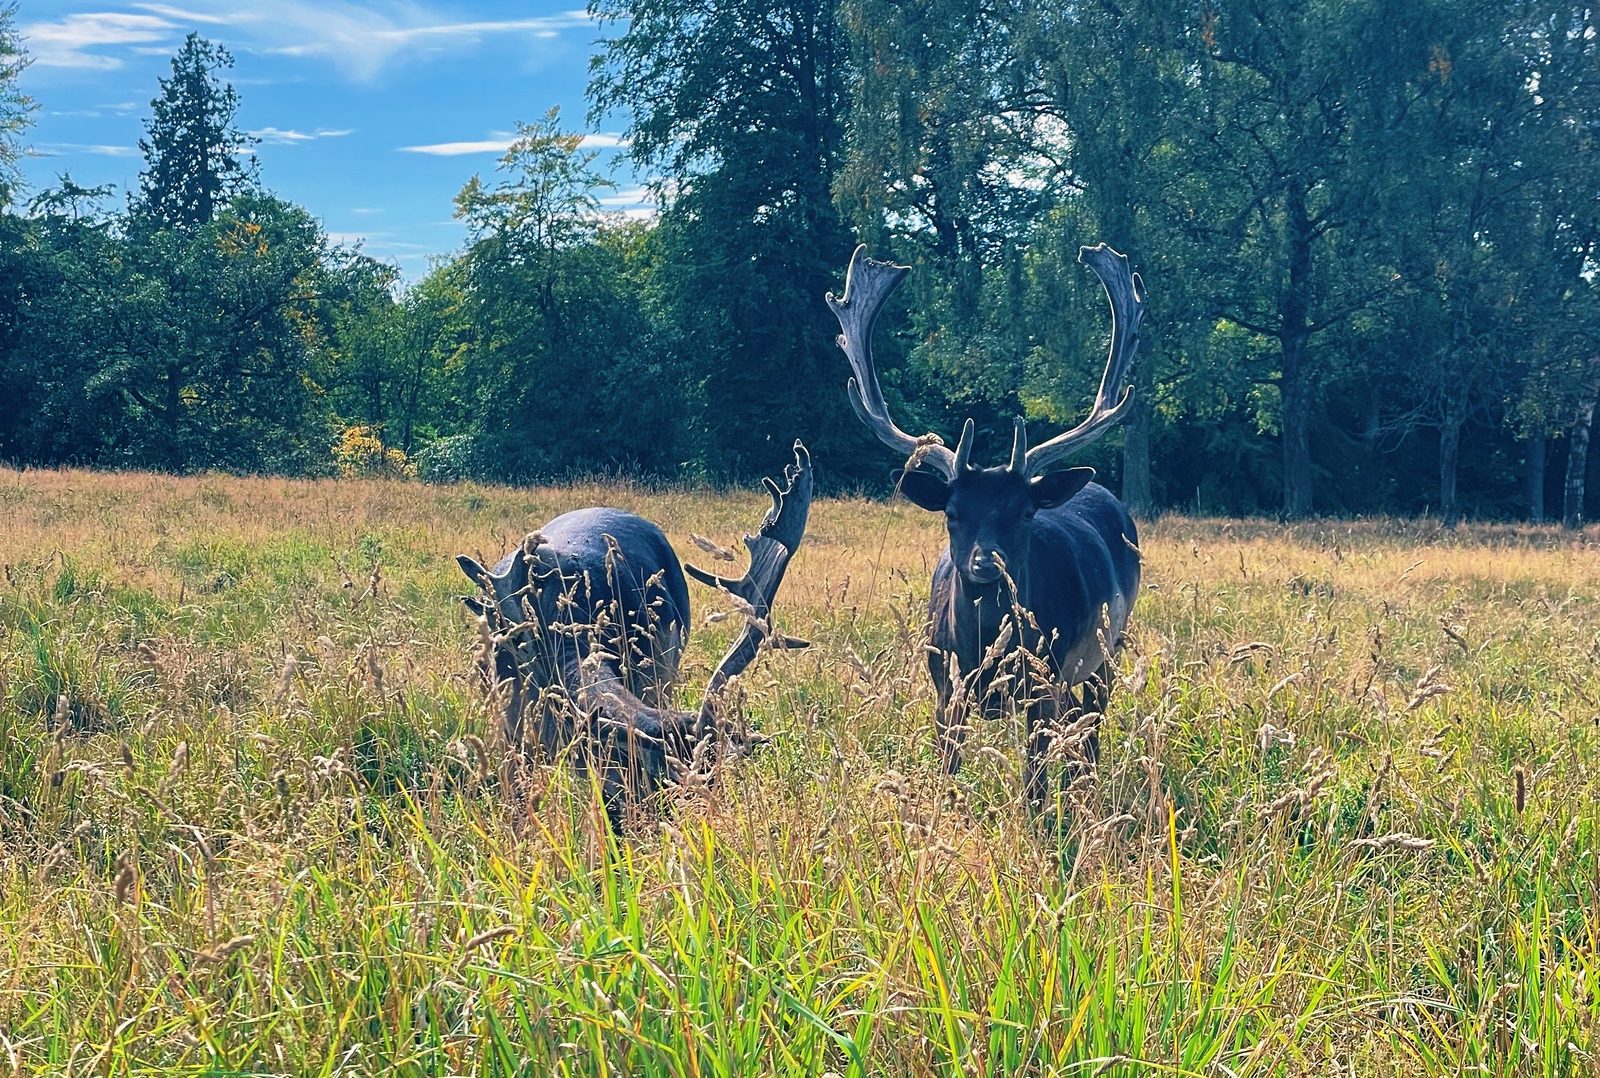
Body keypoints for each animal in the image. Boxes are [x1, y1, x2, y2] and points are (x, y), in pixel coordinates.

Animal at [826, 244, 1144, 814]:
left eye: (1025, 512)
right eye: (952, 513)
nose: (984, 564)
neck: (982, 647)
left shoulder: (1045, 680)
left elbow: (1035, 780)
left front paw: (1040, 820)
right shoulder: (944, 683)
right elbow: (948, 769)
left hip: (1109, 644)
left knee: (1090, 726)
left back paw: (1086, 791)